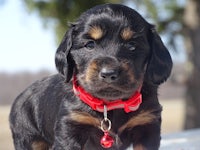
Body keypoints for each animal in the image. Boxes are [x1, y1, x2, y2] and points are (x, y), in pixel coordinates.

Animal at [9, 3, 172, 150]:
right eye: (89, 45)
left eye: (132, 45)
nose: (108, 73)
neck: (109, 105)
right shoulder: (70, 127)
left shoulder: (147, 126)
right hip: (29, 139)